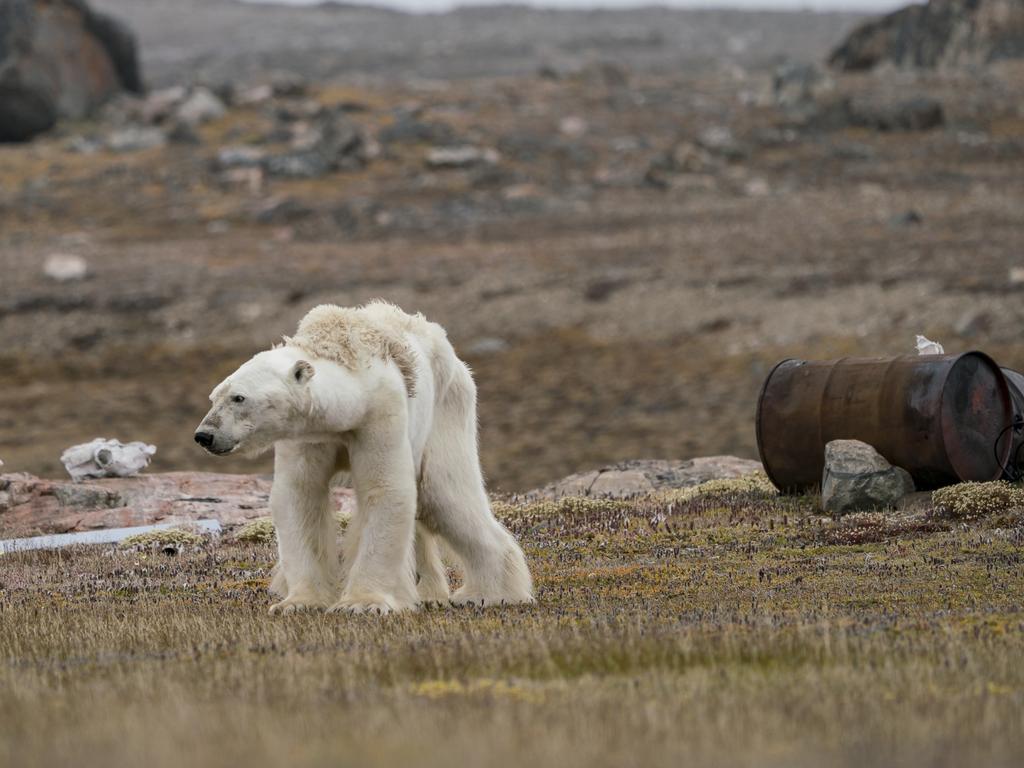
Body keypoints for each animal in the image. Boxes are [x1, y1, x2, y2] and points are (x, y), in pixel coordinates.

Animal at [195, 303, 540, 618]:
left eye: (239, 397)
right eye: (213, 397)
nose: (204, 435)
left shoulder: (379, 413)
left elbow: (385, 490)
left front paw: (362, 603)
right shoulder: (309, 433)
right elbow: (299, 495)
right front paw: (298, 602)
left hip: (447, 408)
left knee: (444, 494)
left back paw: (488, 594)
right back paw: (428, 593)